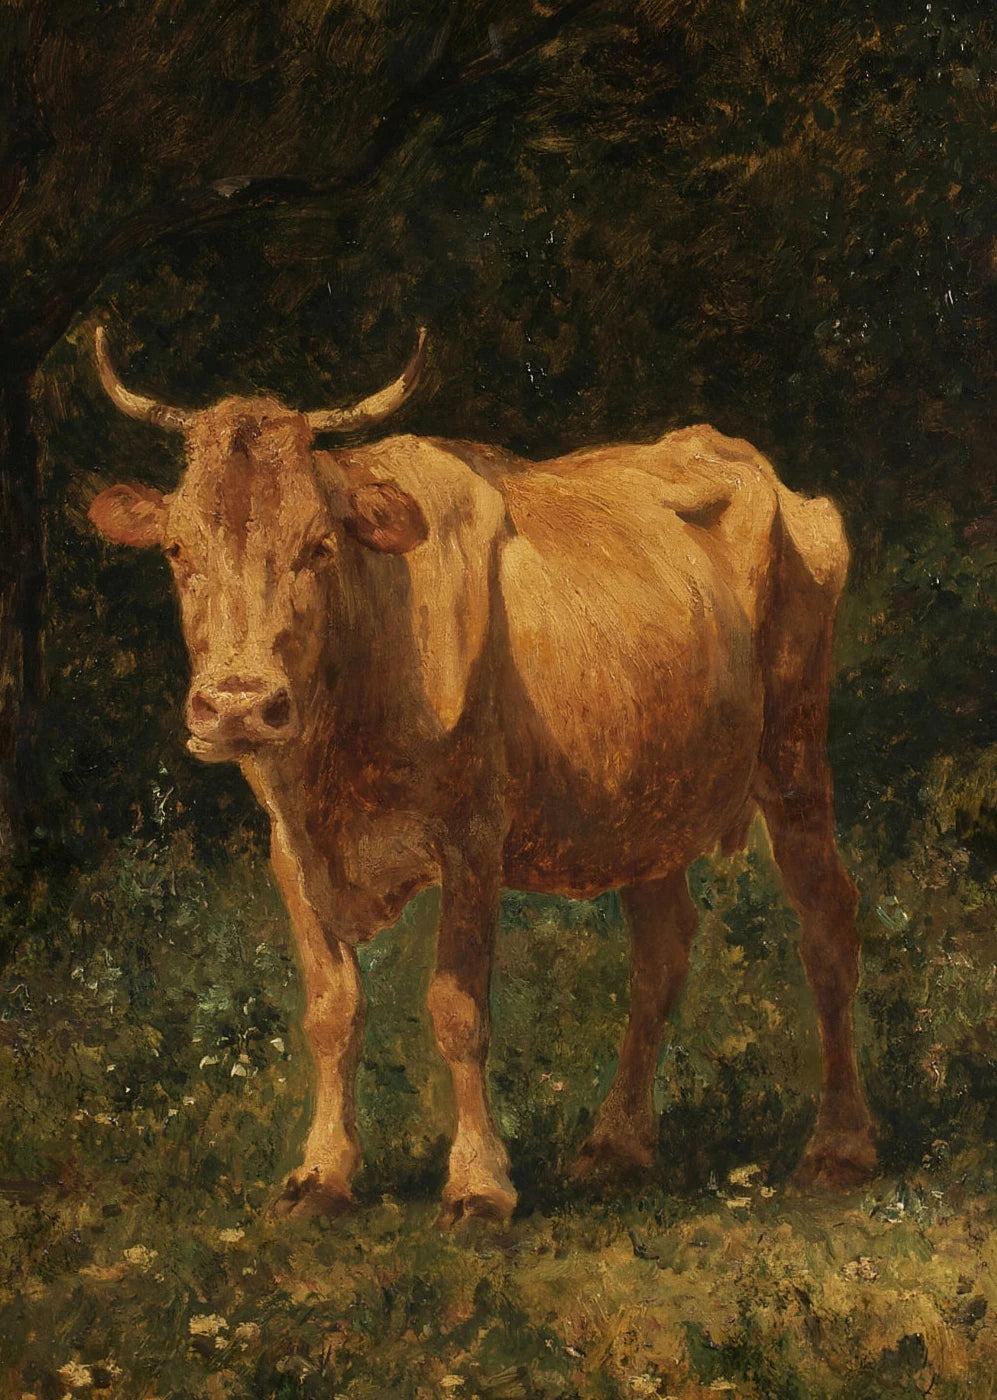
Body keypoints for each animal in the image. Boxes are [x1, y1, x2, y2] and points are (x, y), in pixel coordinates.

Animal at [87, 325, 876, 1223]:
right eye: (177, 549)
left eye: (319, 547)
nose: (238, 704)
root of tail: (745, 459)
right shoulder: (290, 848)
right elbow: (330, 1011)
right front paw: (322, 1172)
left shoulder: (470, 839)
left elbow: (457, 1008)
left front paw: (479, 1183)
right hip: (650, 802)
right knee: (661, 952)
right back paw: (616, 1145)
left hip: (794, 754)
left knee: (825, 924)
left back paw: (839, 1147)